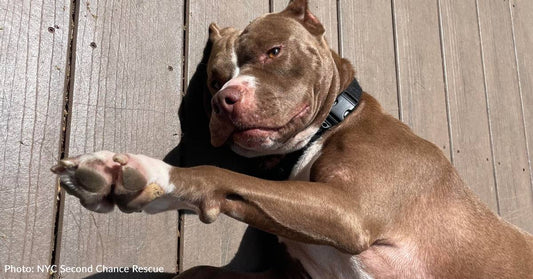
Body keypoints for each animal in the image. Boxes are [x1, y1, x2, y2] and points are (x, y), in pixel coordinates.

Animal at [52, 1, 532, 278]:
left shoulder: (350, 211)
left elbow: (219, 173)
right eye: (214, 81)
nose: (226, 99)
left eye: (274, 52)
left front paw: (148, 174)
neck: (326, 127)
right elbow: (204, 264)